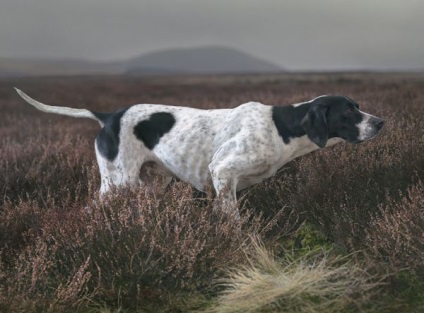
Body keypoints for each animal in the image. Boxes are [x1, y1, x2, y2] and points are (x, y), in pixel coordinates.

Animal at [15, 88, 384, 214]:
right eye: (347, 112)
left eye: (358, 106)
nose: (380, 122)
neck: (283, 128)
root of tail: (108, 116)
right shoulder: (223, 172)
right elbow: (233, 221)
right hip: (118, 183)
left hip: (152, 182)